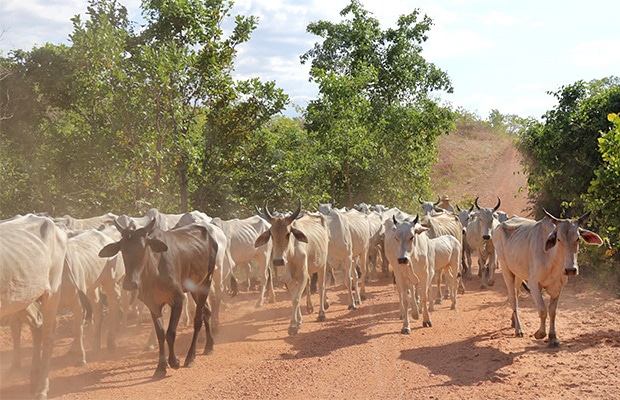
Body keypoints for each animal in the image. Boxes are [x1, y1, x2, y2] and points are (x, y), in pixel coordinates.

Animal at [492, 209, 604, 346]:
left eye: (577, 238)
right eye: (558, 239)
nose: (570, 270)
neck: (552, 259)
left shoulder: (558, 286)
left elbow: (552, 311)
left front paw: (553, 337)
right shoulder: (534, 283)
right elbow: (542, 310)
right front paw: (540, 334)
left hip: (518, 272)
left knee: (517, 294)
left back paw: (514, 322)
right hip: (505, 268)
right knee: (513, 297)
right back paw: (519, 329)